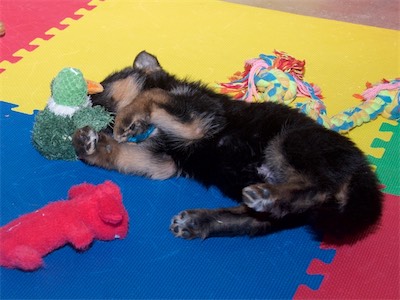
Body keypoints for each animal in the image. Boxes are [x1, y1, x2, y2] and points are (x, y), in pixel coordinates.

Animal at [73, 51, 382, 241]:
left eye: (102, 86)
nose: (81, 106)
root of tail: (362, 171)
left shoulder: (201, 114)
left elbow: (152, 94)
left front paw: (127, 120)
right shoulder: (163, 162)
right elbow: (120, 152)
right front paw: (87, 144)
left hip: (291, 142)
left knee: (318, 188)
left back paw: (265, 194)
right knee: (255, 219)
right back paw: (198, 221)